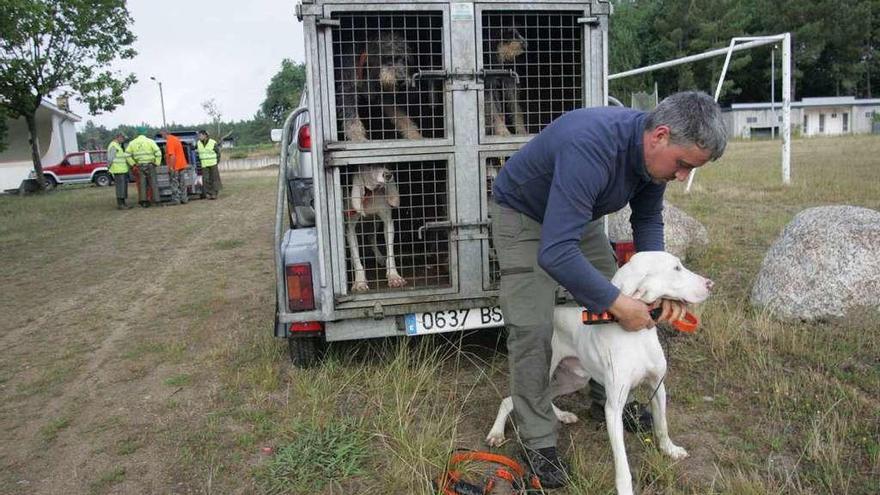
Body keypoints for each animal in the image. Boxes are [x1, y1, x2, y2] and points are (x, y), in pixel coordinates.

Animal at [484, 254, 712, 494]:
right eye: (676, 268)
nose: (710, 284)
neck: (637, 336)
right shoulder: (613, 408)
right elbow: (622, 462)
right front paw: (625, 489)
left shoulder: (657, 386)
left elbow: (662, 425)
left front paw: (670, 449)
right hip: (544, 371)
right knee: (511, 400)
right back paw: (496, 433)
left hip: (574, 378)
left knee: (545, 397)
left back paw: (562, 415)